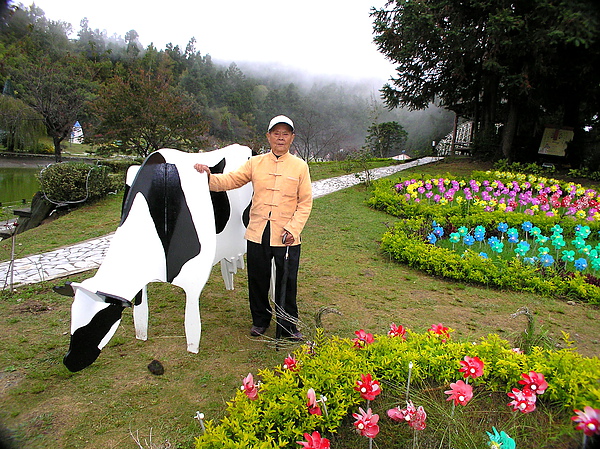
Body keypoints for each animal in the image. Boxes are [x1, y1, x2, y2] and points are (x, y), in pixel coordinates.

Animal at [55, 144, 251, 372]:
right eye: (73, 315)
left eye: (102, 319)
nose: (70, 361)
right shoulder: (140, 282)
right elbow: (140, 313)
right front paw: (142, 336)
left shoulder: (193, 281)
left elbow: (192, 323)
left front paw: (192, 349)